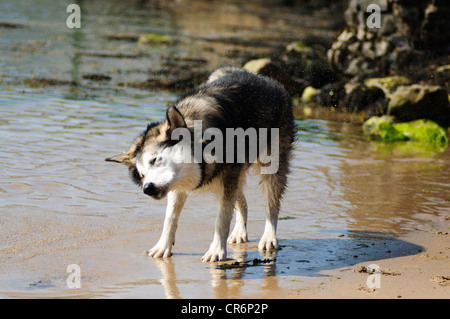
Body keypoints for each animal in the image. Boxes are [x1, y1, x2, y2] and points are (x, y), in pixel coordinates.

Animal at [105, 68, 296, 262]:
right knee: (243, 202)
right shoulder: (179, 187)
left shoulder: (225, 183)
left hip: (269, 170)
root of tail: (263, 78)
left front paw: (217, 251)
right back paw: (240, 232)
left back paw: (269, 237)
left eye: (155, 160)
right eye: (142, 175)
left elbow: (221, 220)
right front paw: (163, 246)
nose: (147, 188)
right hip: (236, 176)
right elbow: (170, 219)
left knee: (272, 206)